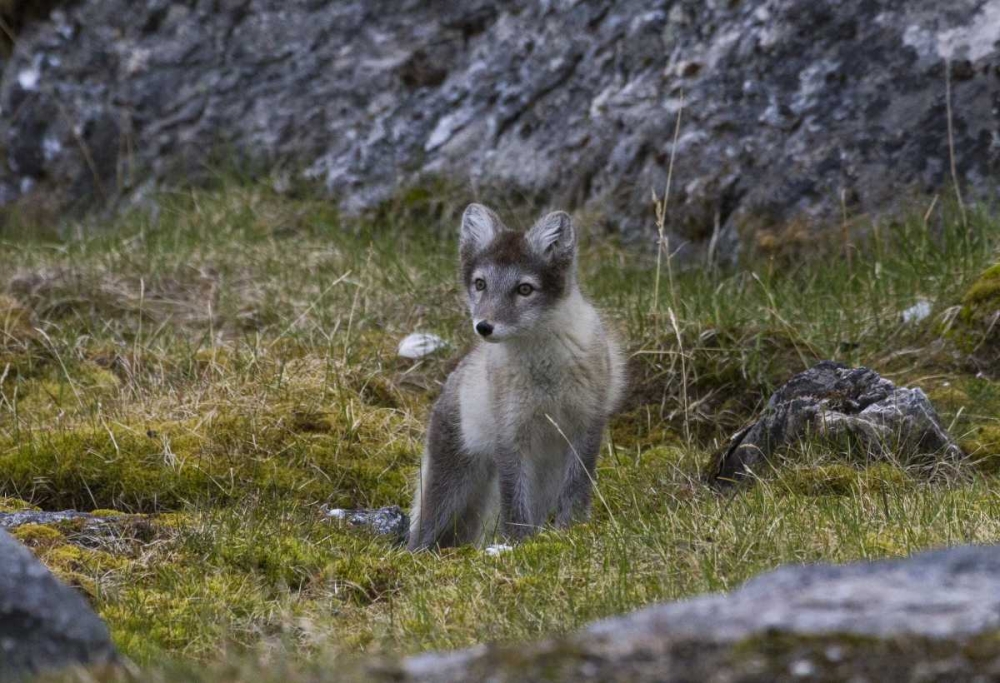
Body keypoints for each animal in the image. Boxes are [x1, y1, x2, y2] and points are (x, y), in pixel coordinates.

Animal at [406, 203, 624, 552]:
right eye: (480, 284)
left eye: (524, 289)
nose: (484, 326)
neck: (545, 369)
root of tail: (453, 379)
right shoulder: (510, 435)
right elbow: (514, 501)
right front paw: (518, 543)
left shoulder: (587, 424)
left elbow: (577, 488)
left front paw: (571, 530)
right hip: (449, 482)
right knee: (421, 531)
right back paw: (416, 554)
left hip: (545, 474)